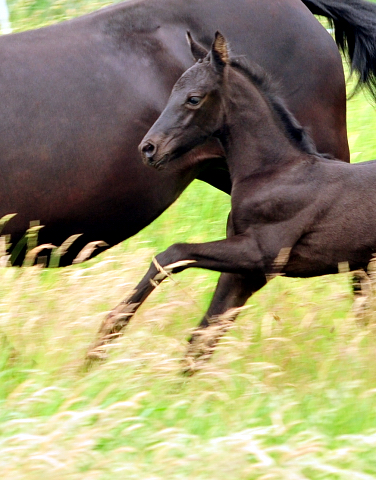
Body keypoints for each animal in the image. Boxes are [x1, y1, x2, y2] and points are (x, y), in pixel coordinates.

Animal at [86, 33, 376, 370]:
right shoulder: (244, 274)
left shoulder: (261, 253)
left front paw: (108, 334)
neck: (273, 172)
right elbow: (202, 340)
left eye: (194, 98)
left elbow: (172, 254)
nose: (148, 148)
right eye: (172, 91)